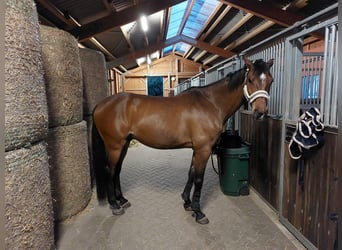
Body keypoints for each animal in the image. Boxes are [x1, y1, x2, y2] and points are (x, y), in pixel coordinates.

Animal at [91, 57, 272, 225]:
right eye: (250, 79)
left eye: (270, 80)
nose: (260, 112)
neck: (211, 103)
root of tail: (100, 105)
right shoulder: (203, 149)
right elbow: (199, 179)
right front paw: (199, 213)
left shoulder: (196, 149)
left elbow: (191, 173)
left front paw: (187, 202)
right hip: (114, 146)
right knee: (109, 170)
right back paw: (115, 205)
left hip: (124, 144)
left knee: (117, 170)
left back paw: (122, 200)